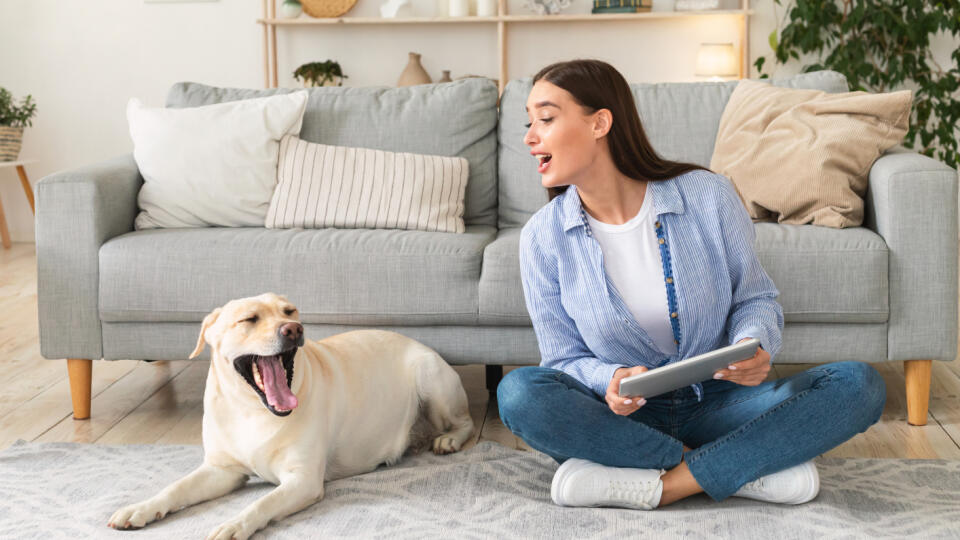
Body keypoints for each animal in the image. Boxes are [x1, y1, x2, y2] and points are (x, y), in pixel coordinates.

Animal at [107, 294, 474, 536]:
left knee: (465, 422)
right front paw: (140, 508)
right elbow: (175, 489)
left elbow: (262, 503)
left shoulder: (303, 479)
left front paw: (233, 524)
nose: (294, 329)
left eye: (289, 310)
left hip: (430, 380)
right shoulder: (221, 471)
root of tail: (424, 346)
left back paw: (448, 440)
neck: (251, 410)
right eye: (249, 319)